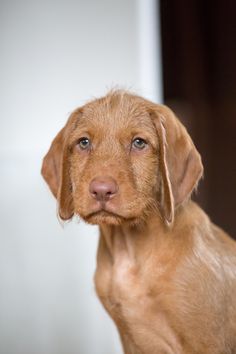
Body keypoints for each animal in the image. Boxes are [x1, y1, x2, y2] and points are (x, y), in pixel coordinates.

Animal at [42, 91, 236, 354]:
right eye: (84, 142)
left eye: (139, 143)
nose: (101, 190)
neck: (129, 246)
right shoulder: (128, 338)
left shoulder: (208, 342)